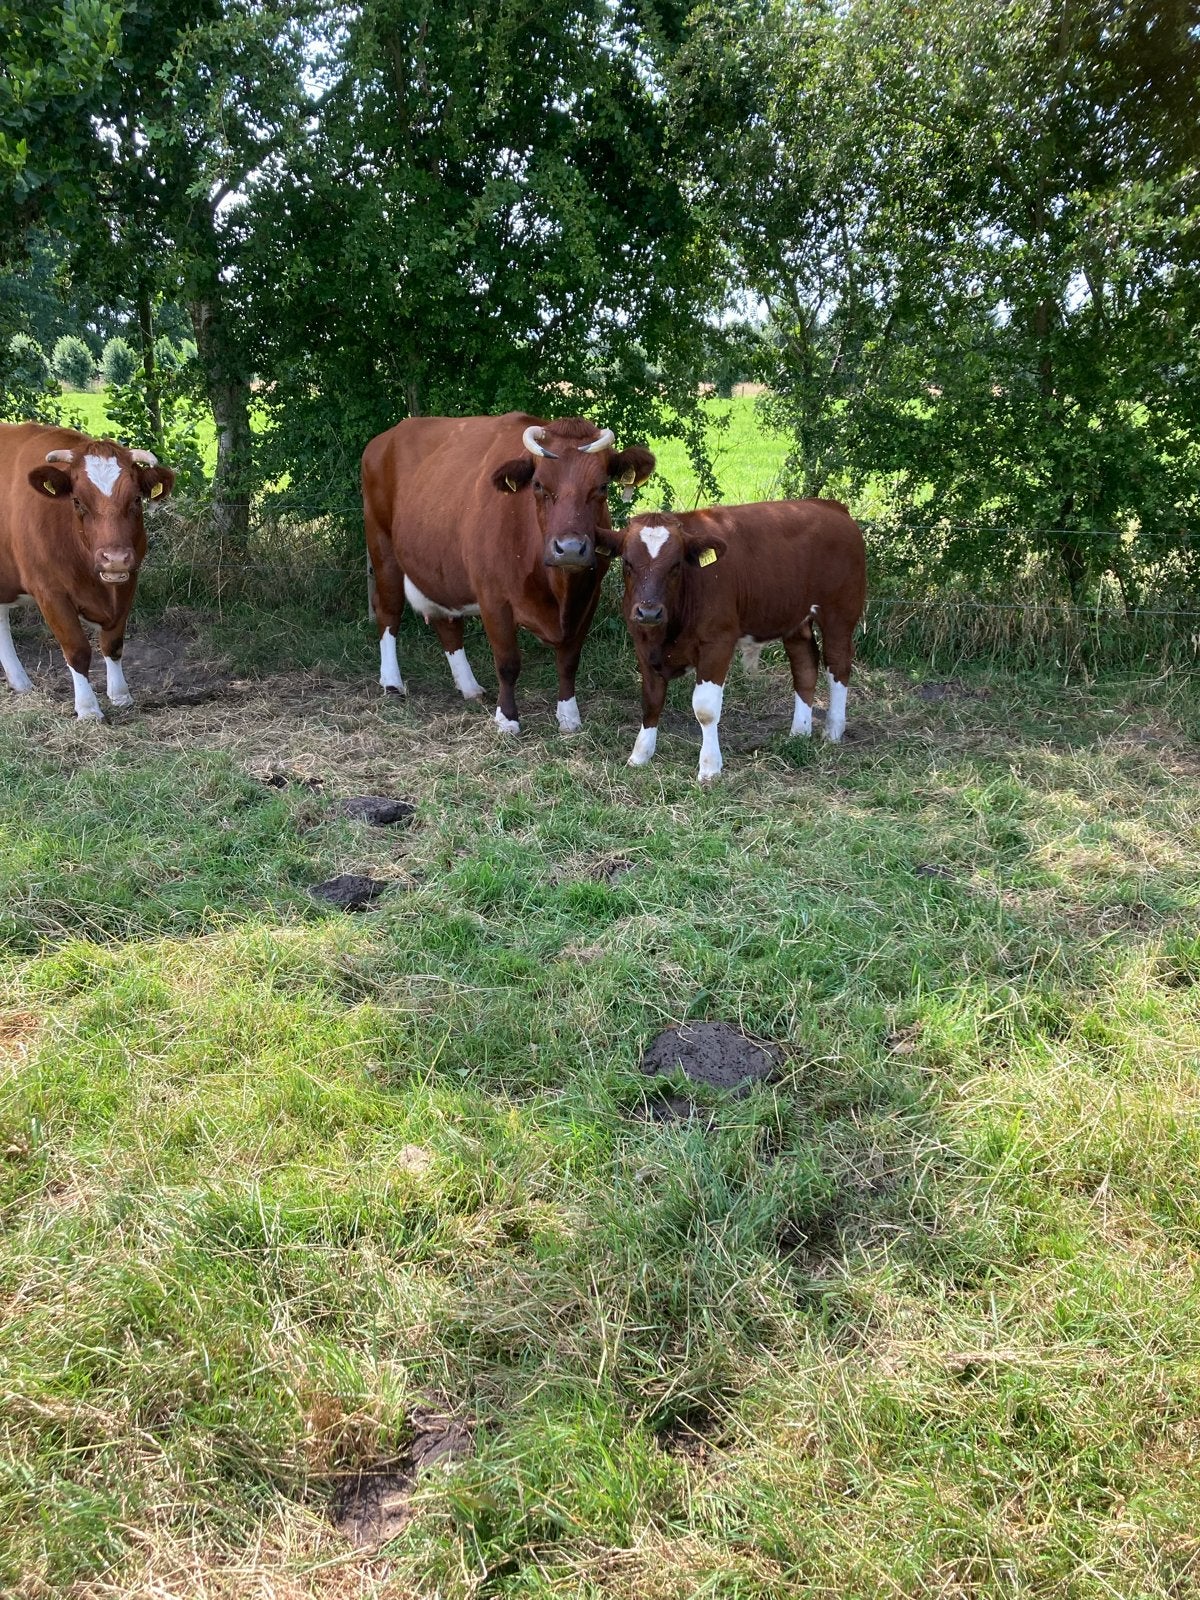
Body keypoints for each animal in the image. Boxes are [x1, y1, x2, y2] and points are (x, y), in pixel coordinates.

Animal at [0, 423, 174, 720]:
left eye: (136, 499)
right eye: (78, 501)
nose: (114, 558)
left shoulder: (128, 580)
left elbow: (113, 644)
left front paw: (120, 695)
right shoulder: (50, 593)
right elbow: (77, 649)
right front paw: (88, 708)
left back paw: (21, 682)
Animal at [362, 413, 654, 733]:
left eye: (602, 486)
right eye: (538, 485)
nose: (570, 549)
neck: (558, 591)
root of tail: (388, 435)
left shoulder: (589, 595)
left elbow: (569, 660)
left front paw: (568, 716)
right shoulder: (494, 599)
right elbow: (508, 662)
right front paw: (507, 718)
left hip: (439, 568)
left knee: (447, 623)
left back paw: (469, 687)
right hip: (382, 546)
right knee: (388, 611)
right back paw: (392, 683)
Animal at [599, 499, 867, 781]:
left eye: (676, 565)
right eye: (627, 563)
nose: (649, 612)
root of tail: (830, 505)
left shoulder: (718, 643)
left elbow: (705, 709)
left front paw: (709, 767)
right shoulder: (642, 644)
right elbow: (651, 700)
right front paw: (640, 755)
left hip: (839, 614)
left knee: (837, 665)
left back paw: (833, 731)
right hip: (796, 620)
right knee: (805, 666)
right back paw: (799, 733)